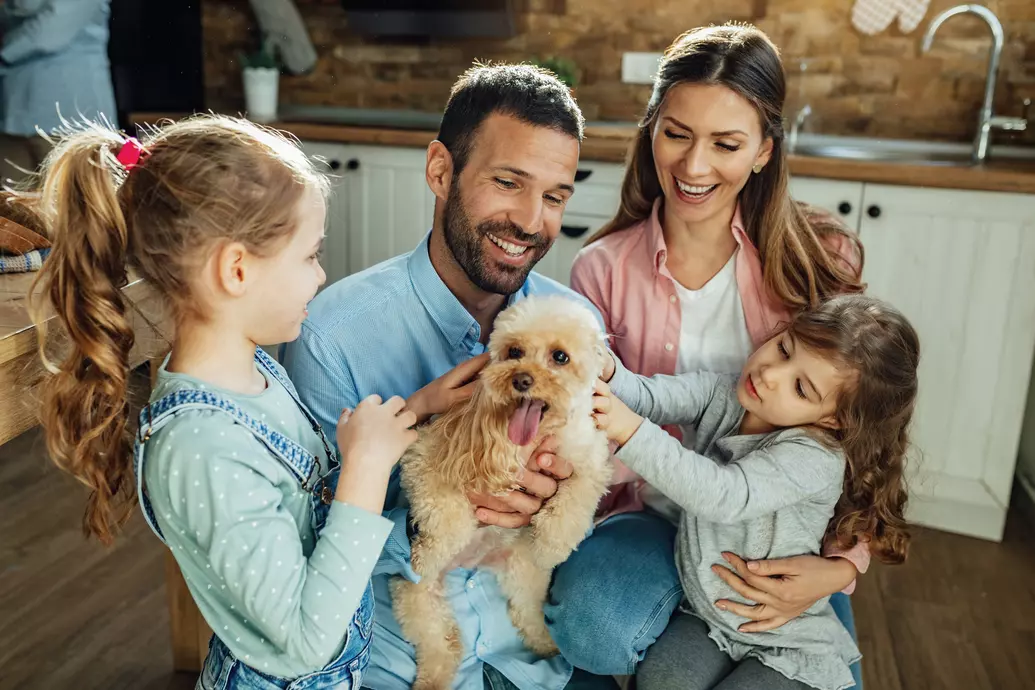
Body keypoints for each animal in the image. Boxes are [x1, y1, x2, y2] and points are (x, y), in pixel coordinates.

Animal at [391, 293, 608, 686]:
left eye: (560, 357)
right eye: (514, 351)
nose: (522, 379)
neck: (531, 440)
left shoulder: (590, 459)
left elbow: (575, 500)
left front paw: (552, 542)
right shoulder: (424, 456)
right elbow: (447, 512)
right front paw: (426, 553)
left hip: (523, 575)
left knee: (526, 615)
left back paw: (547, 645)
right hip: (413, 596)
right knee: (440, 646)